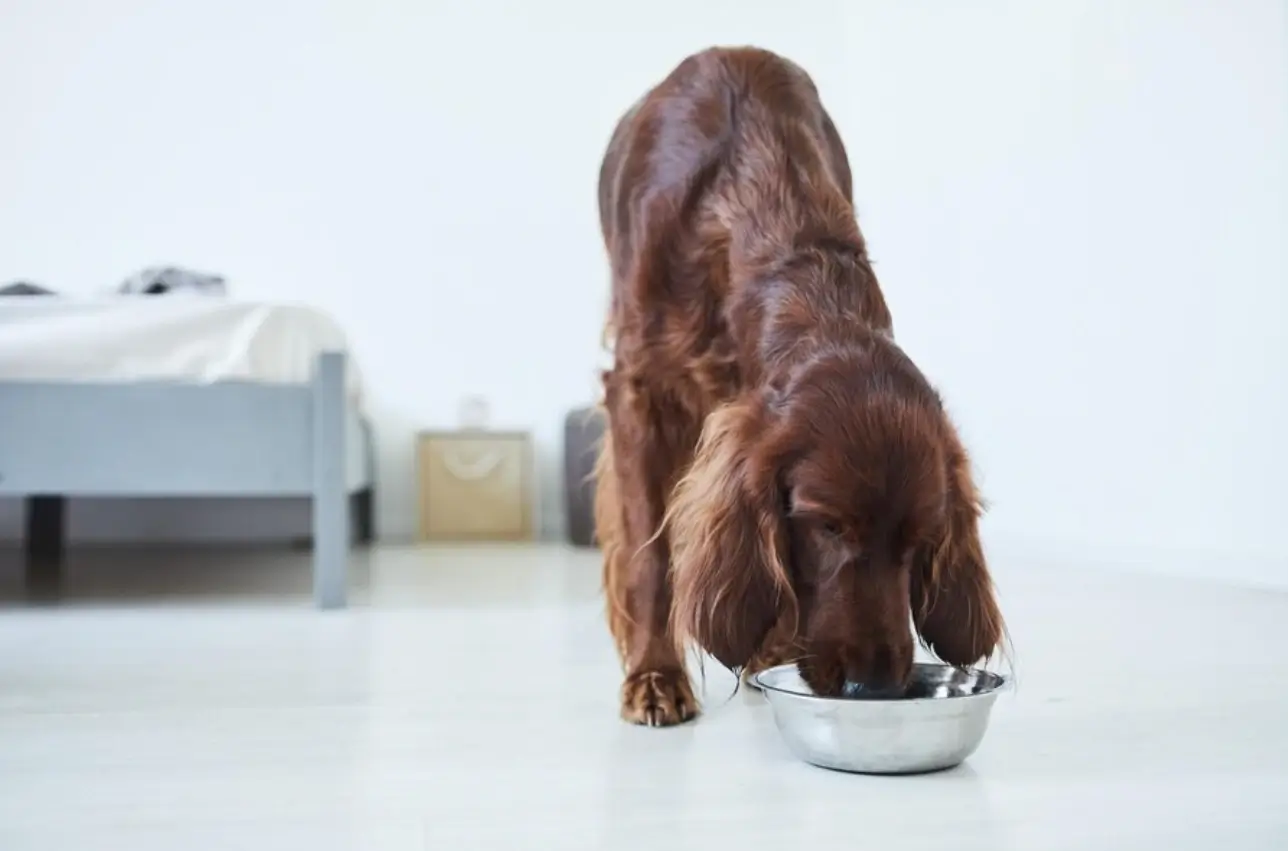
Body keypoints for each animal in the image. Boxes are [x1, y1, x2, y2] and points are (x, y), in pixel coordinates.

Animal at [592, 44, 1004, 726]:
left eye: (921, 538)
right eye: (827, 526)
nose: (873, 687)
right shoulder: (639, 391)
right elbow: (650, 553)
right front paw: (654, 675)